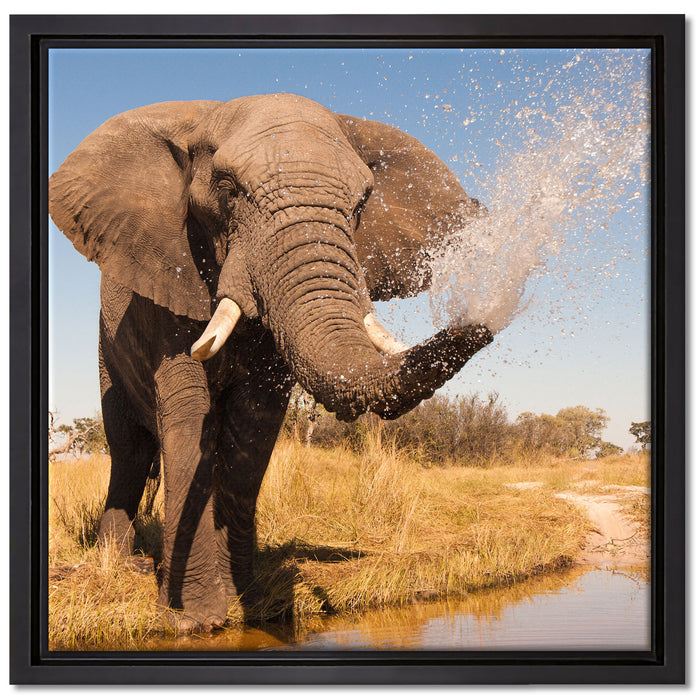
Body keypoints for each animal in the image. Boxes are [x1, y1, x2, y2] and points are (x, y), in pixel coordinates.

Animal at [49, 93, 493, 633]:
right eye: (227, 189)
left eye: (362, 203)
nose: (483, 321)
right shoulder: (168, 278)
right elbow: (187, 412)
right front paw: (192, 620)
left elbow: (254, 422)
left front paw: (252, 605)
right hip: (106, 352)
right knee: (129, 450)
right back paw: (116, 563)